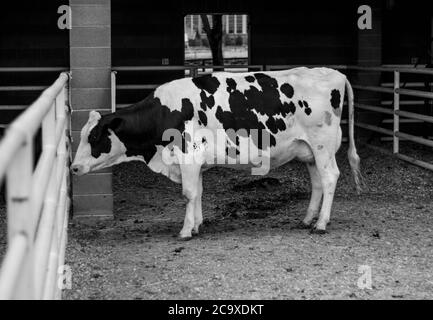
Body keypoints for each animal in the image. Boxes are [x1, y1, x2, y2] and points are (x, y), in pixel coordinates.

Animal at [71, 69, 362, 241]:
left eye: (93, 137)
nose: (73, 168)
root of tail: (333, 72)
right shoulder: (195, 162)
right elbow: (198, 192)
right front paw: (197, 225)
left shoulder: (188, 156)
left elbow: (188, 193)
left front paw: (186, 231)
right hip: (309, 151)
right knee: (317, 183)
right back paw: (307, 219)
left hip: (323, 146)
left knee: (330, 178)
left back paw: (321, 223)